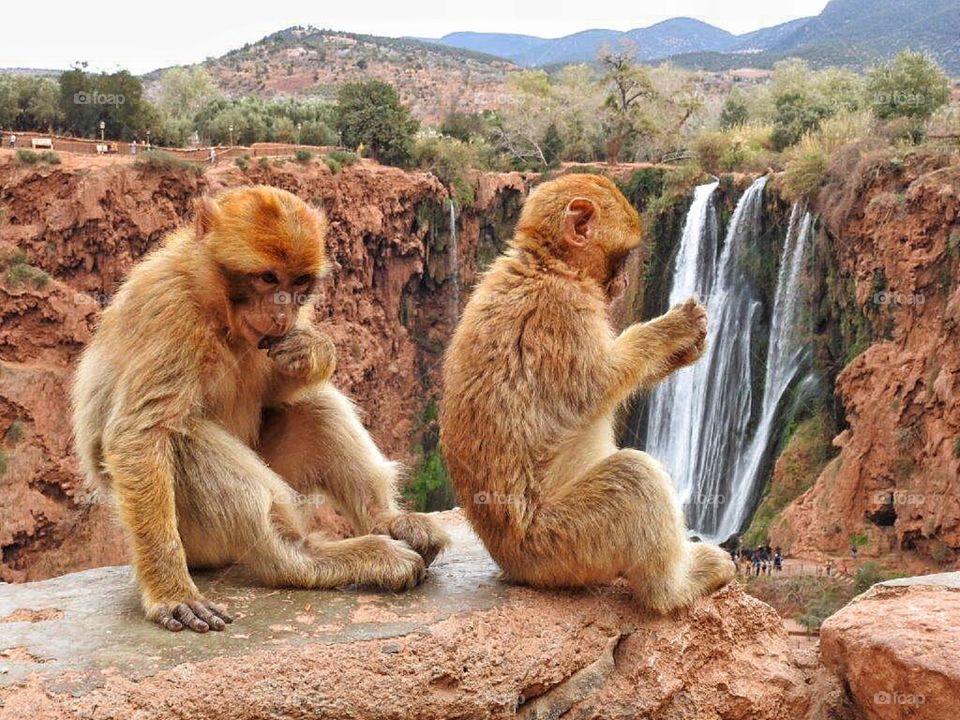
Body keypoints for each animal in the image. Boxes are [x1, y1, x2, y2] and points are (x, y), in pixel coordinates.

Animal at [73, 187, 448, 636]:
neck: (215, 306)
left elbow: (279, 390)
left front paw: (313, 350)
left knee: (313, 403)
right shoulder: (170, 311)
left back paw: (386, 522)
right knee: (186, 436)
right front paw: (170, 591)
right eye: (268, 278)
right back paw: (308, 560)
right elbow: (141, 435)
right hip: (197, 542)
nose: (283, 312)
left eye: (298, 282)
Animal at [442, 174, 736, 612]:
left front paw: (685, 348)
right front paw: (671, 331)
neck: (550, 265)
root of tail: (510, 562)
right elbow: (596, 388)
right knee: (634, 476)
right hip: (561, 546)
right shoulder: (563, 310)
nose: (626, 281)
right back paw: (673, 588)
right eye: (625, 255)